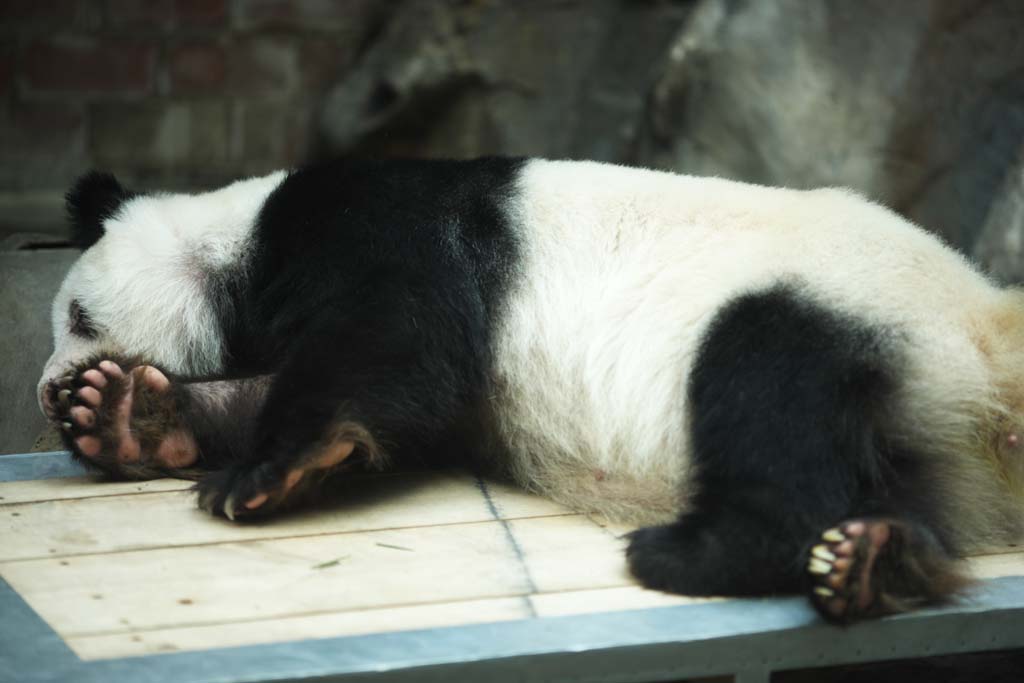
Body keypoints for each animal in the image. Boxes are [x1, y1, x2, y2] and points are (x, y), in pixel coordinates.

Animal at [34, 156, 1024, 626]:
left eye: (77, 315)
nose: (46, 393)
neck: (237, 235)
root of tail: (990, 335)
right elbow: (404, 409)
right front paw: (125, 413)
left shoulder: (382, 226)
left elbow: (398, 343)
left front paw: (266, 471)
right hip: (920, 408)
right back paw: (879, 559)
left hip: (841, 306)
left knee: (768, 387)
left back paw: (694, 553)